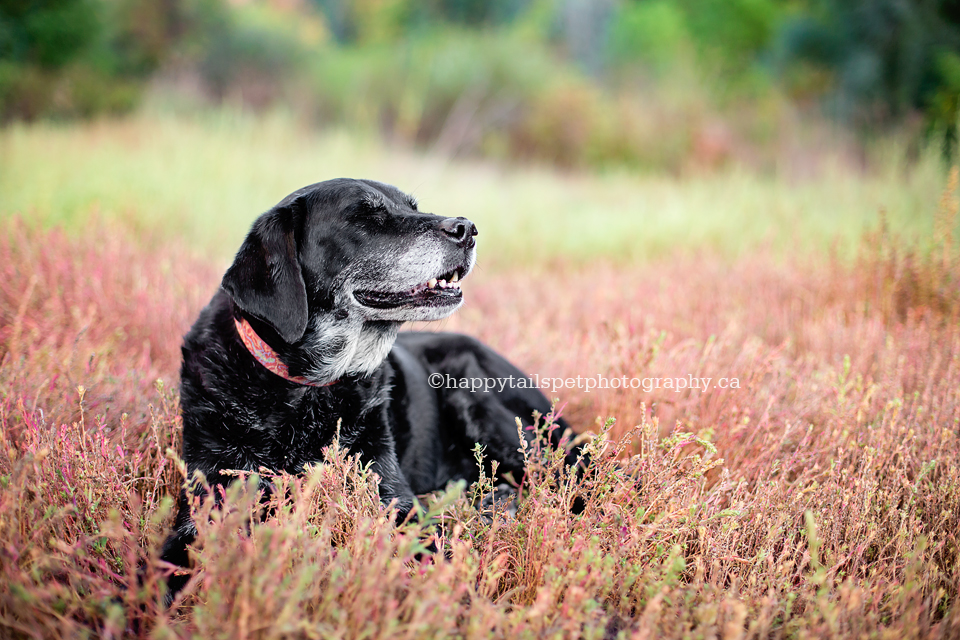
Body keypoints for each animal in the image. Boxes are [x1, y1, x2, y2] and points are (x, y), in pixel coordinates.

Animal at [161, 178, 580, 596]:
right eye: (365, 217)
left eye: (412, 207)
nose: (467, 228)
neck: (307, 391)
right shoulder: (207, 502)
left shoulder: (395, 499)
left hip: (476, 400)